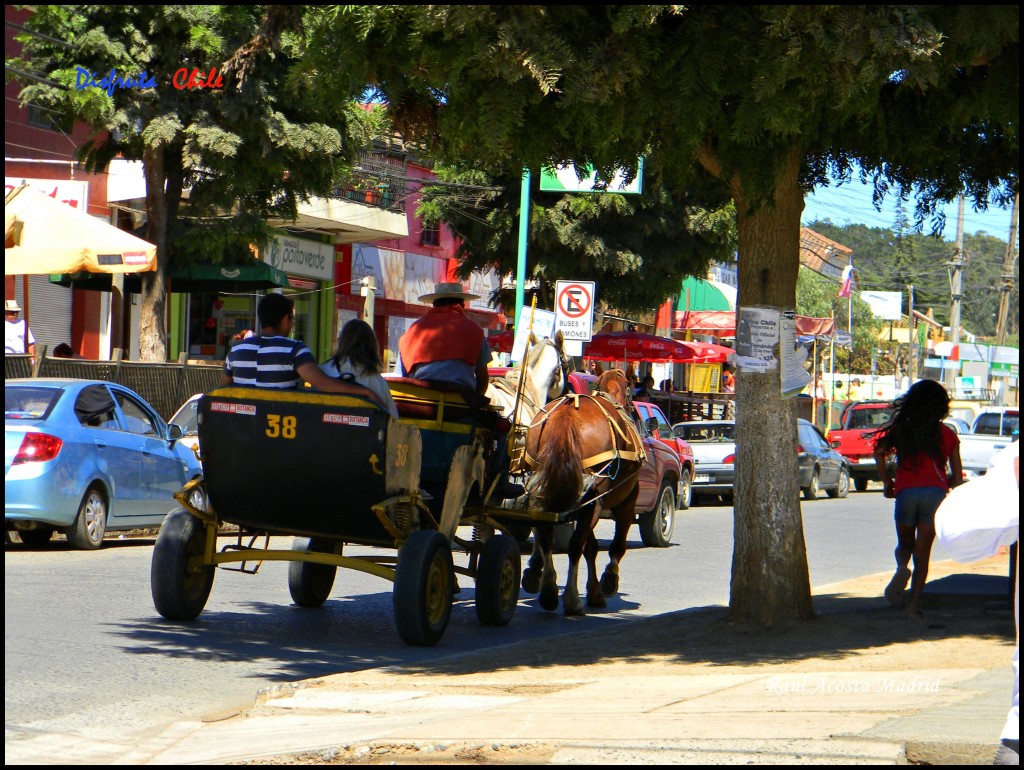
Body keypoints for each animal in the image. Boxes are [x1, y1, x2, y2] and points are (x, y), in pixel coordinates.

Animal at [520, 366, 638, 614]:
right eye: (631, 392)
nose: (633, 409)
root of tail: (567, 413)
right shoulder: (627, 501)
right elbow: (616, 546)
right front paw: (609, 580)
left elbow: (590, 547)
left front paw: (594, 592)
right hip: (594, 499)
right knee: (574, 545)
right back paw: (572, 599)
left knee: (546, 535)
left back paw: (548, 589)